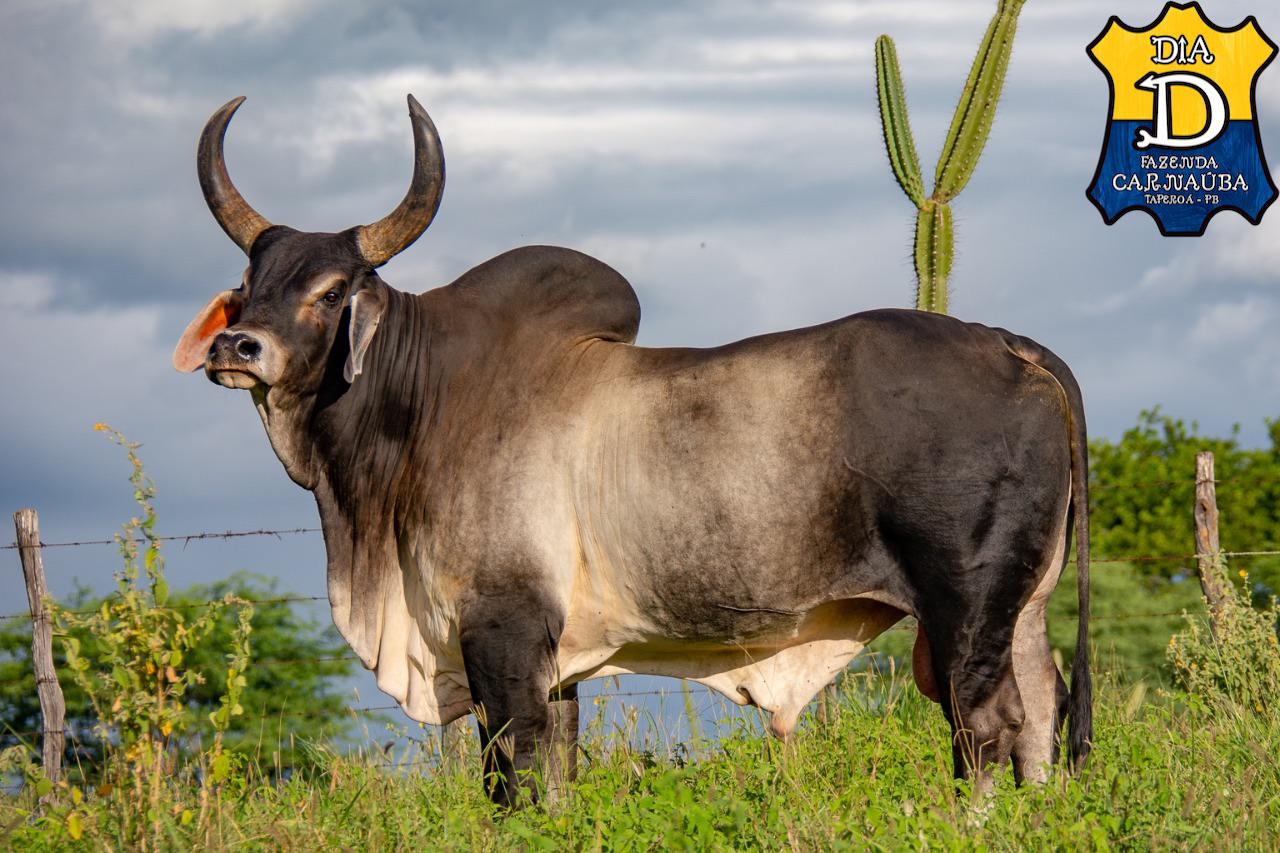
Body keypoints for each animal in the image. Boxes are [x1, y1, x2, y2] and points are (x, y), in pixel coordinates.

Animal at [172, 94, 1090, 804]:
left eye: (332, 293)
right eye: (247, 287)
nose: (238, 348)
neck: (418, 408)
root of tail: (1007, 344)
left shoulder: (500, 628)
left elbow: (512, 773)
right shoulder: (556, 661)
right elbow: (555, 773)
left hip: (965, 603)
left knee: (988, 725)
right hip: (1024, 605)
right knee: (1041, 715)